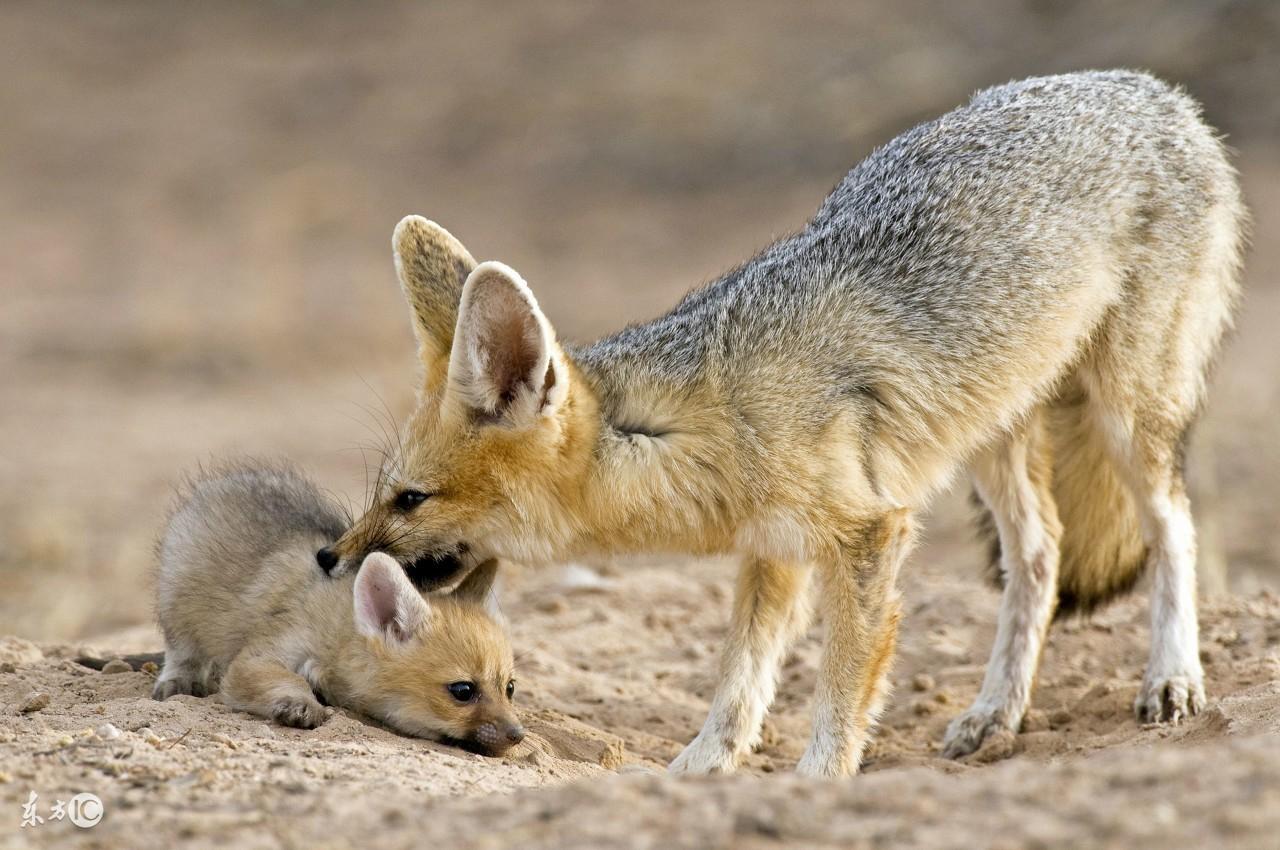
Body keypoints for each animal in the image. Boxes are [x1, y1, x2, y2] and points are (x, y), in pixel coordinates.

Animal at [325, 72, 1244, 778]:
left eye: (410, 499)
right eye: (384, 491)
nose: (329, 558)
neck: (705, 419)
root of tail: (1155, 92)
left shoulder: (868, 533)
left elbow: (840, 682)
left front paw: (820, 779)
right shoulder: (772, 549)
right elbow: (743, 674)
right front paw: (703, 766)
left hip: (1129, 414)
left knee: (1174, 526)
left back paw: (1172, 676)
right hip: (992, 432)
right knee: (1042, 554)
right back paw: (998, 711)